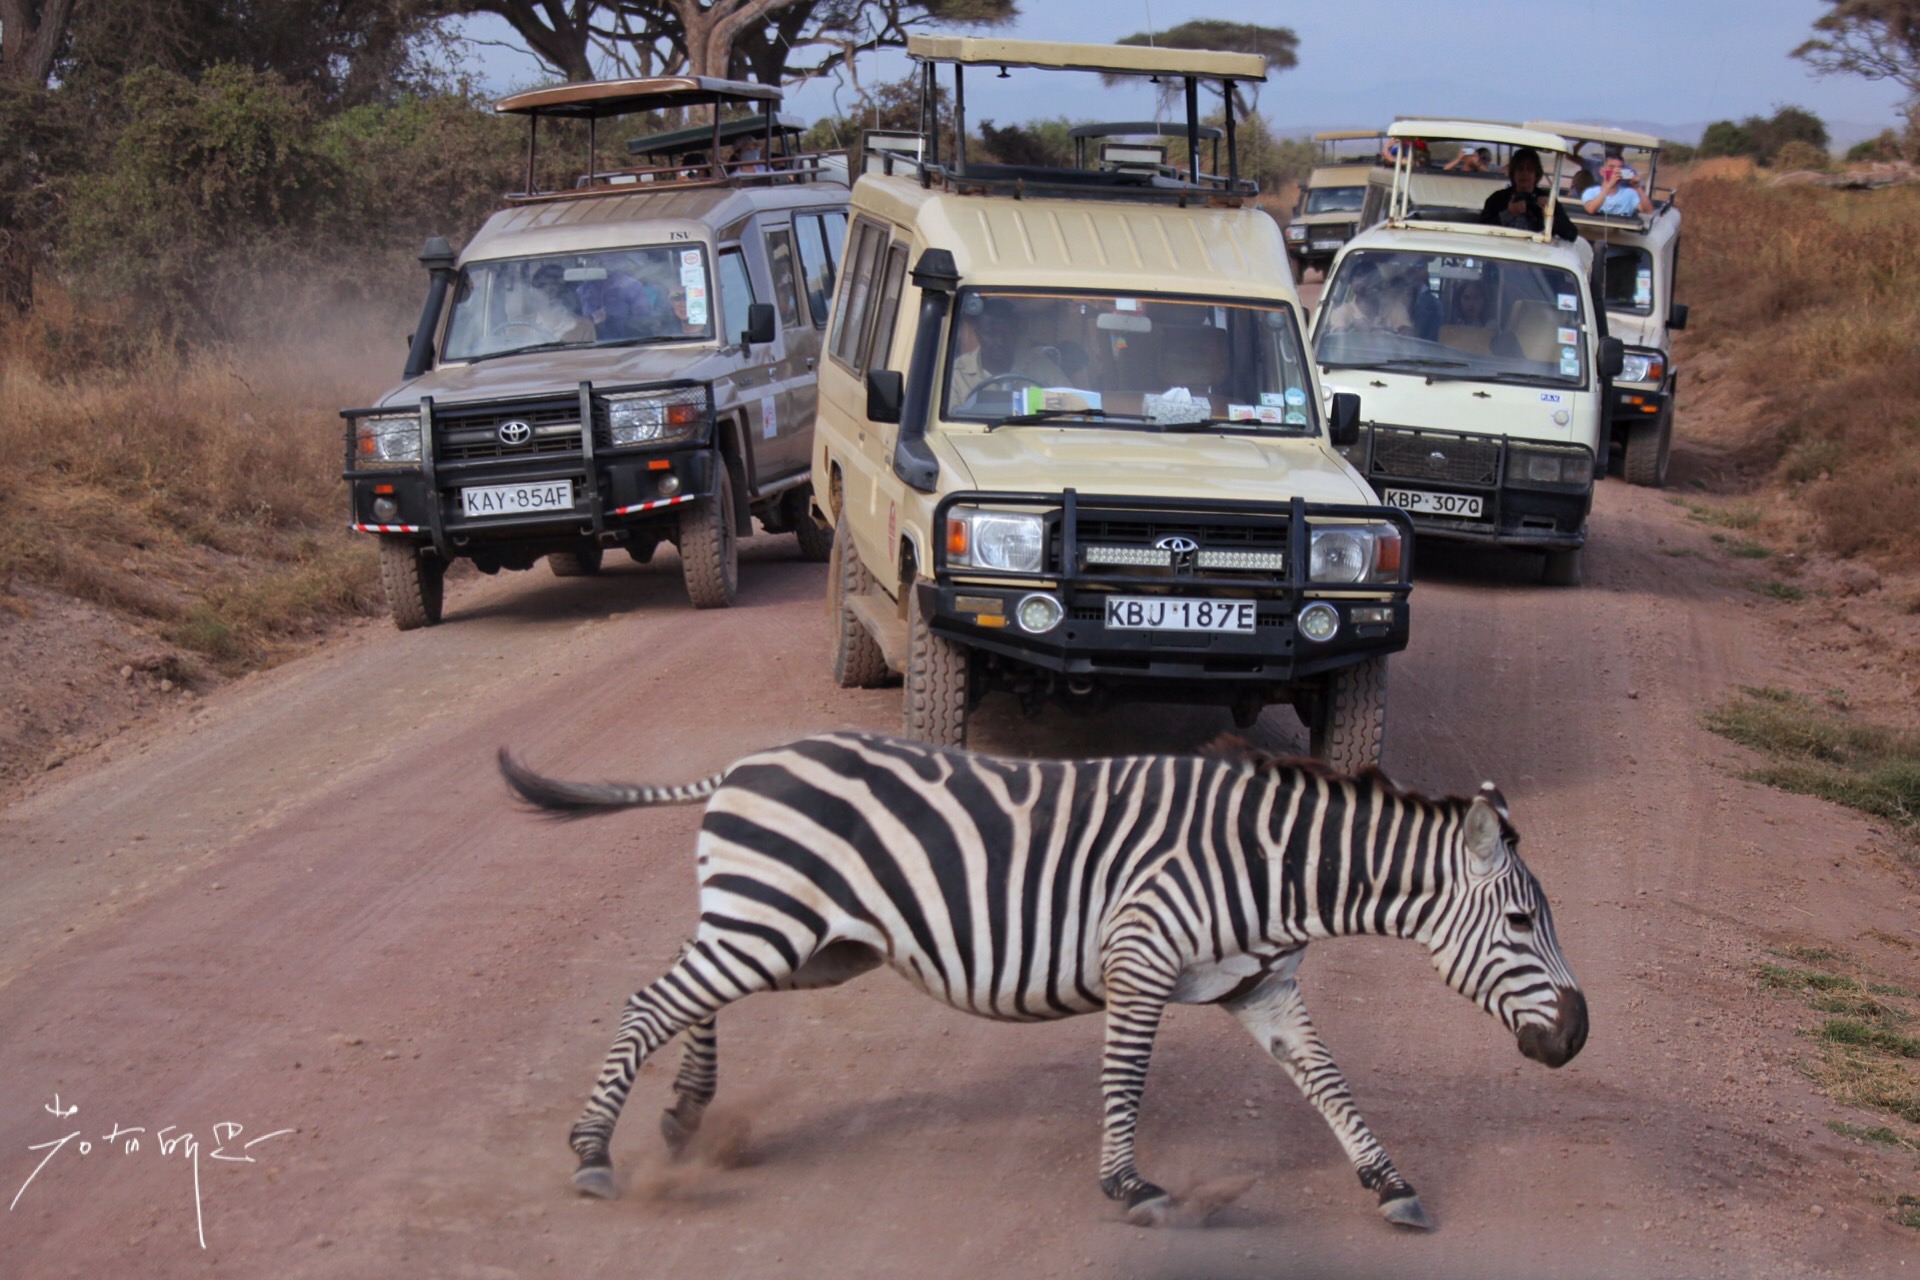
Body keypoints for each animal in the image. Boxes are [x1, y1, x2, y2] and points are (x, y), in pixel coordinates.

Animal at [499, 729, 1589, 1228]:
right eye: (1522, 922)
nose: (1577, 1035)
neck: (1275, 868)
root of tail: (740, 764)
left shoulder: (1262, 985)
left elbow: (1328, 1080)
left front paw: (1390, 1181)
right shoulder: (1141, 954)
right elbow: (1126, 1076)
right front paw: (1128, 1185)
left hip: (804, 941)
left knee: (694, 997)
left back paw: (686, 1110)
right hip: (771, 922)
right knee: (650, 1000)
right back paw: (594, 1149)